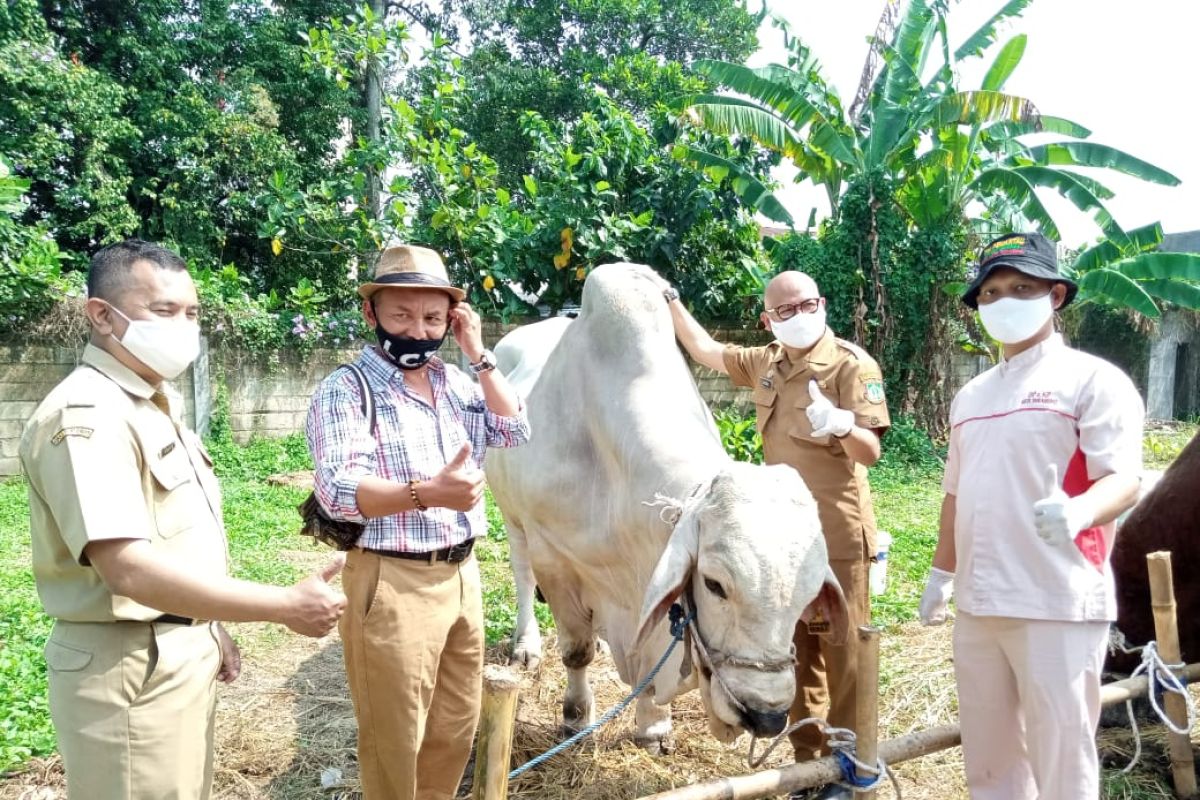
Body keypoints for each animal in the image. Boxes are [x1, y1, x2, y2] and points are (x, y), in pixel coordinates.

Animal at [484, 262, 844, 753]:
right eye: (714, 585)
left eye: (808, 599)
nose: (766, 715)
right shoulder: (554, 558)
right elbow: (576, 650)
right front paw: (575, 717)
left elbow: (650, 669)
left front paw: (653, 726)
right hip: (512, 516)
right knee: (521, 574)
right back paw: (526, 645)